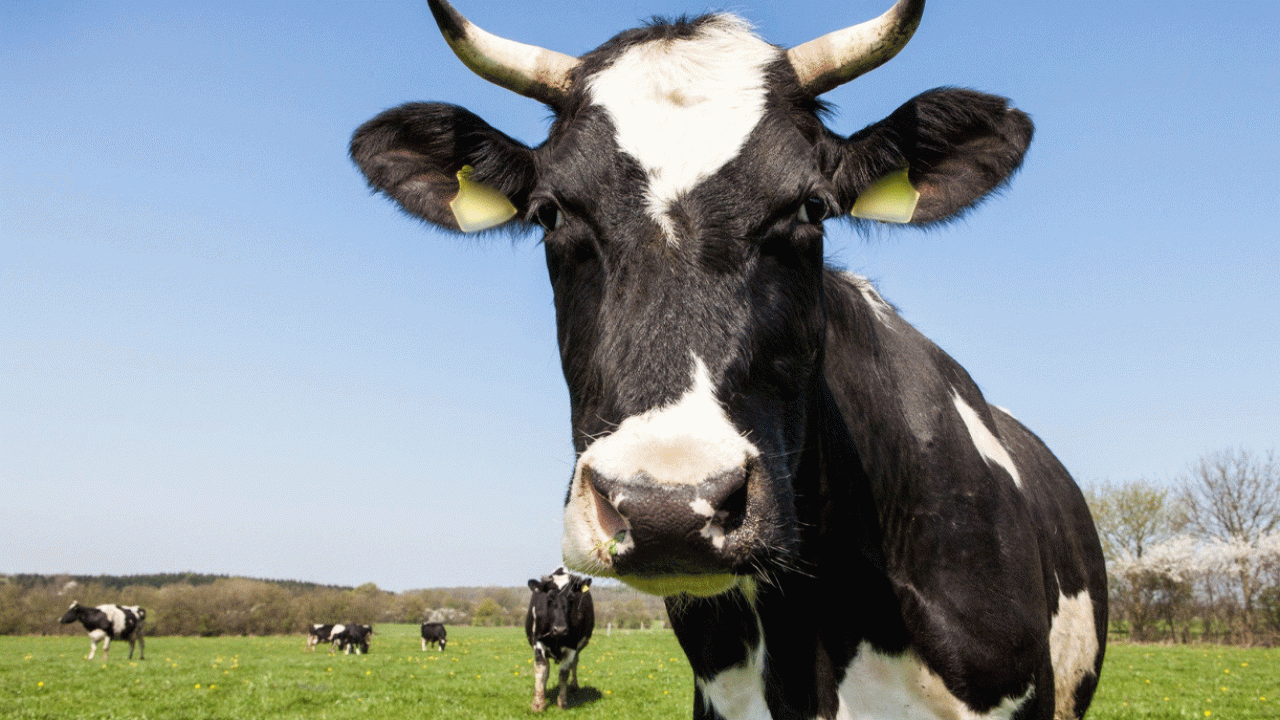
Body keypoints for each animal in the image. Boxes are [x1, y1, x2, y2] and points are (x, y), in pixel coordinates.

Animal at [525, 567, 594, 712]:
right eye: (549, 598)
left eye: (572, 598)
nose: (560, 629)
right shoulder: (538, 642)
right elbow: (541, 669)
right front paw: (538, 703)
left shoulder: (572, 646)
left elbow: (564, 673)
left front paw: (562, 702)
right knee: (546, 669)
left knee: (574, 664)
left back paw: (574, 686)